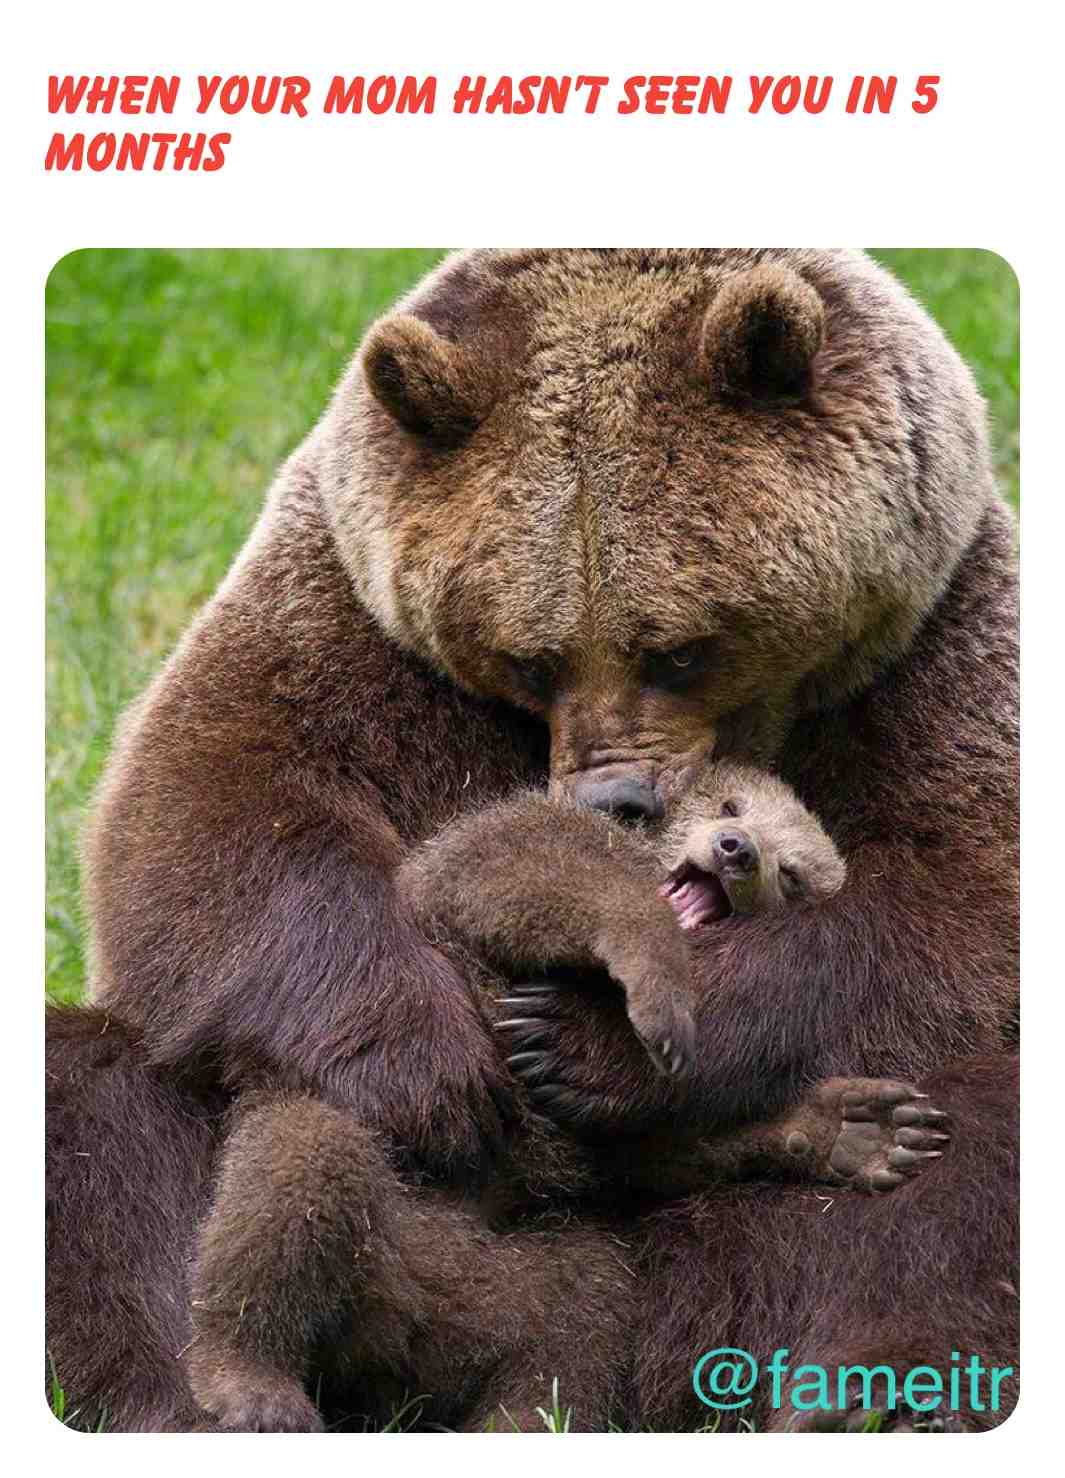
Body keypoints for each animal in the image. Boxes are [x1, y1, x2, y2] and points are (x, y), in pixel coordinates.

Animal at [184, 766, 947, 1433]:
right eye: (731, 805)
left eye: (792, 873)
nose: (738, 850)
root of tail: (398, 1350)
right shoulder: (470, 880)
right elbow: (520, 869)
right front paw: (657, 983)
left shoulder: (599, 1139)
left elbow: (663, 1150)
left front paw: (855, 1126)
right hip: (378, 1194)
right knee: (300, 1171)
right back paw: (250, 1382)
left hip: (514, 1275)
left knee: (579, 1322)